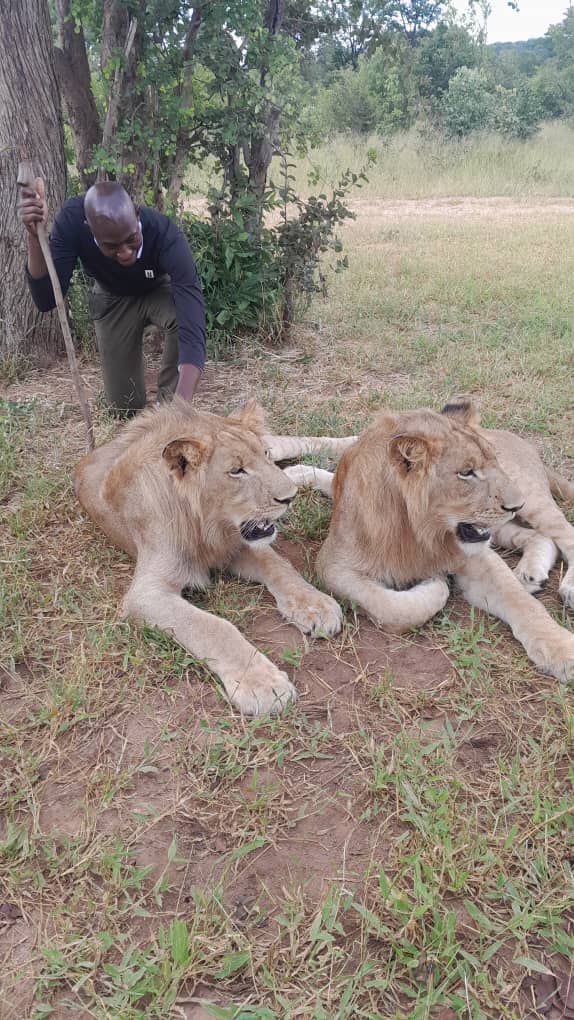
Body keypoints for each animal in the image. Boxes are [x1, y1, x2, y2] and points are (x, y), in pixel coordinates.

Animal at [73, 398, 342, 716]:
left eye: (262, 457)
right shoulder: (146, 593)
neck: (209, 526)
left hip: (276, 442)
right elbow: (213, 627)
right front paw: (263, 684)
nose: (289, 498)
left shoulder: (237, 543)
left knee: (301, 441)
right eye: (237, 471)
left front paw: (315, 604)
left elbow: (279, 566)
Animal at [265, 397, 574, 683]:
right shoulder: (334, 565)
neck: (420, 532)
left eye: (494, 463)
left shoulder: (475, 556)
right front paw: (433, 584)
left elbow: (522, 603)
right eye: (466, 472)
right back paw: (530, 573)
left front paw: (562, 650)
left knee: (564, 532)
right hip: (500, 527)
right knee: (540, 537)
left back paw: (565, 586)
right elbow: (394, 608)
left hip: (532, 498)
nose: (515, 504)